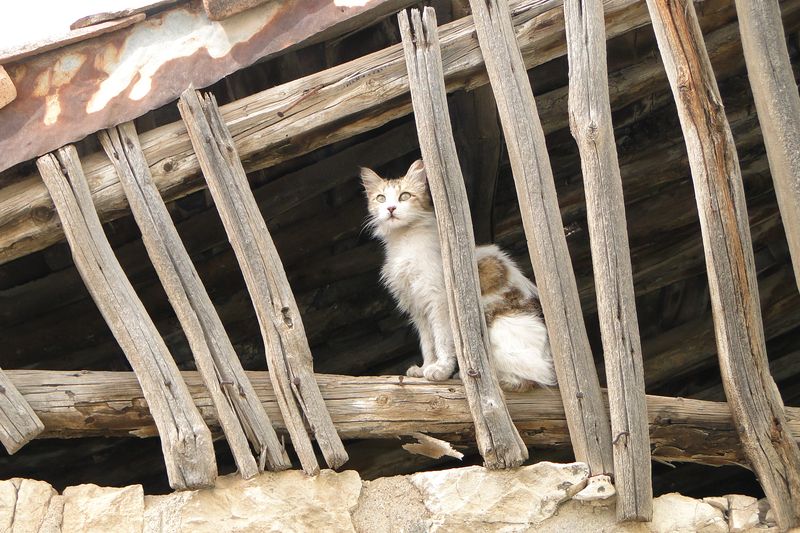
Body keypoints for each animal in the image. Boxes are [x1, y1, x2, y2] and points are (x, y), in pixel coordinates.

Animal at [362, 158, 556, 390]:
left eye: (405, 196)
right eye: (381, 198)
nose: (390, 208)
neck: (403, 240)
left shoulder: (438, 301)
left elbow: (442, 340)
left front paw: (440, 370)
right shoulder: (418, 308)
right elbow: (428, 343)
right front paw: (425, 368)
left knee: (527, 377)